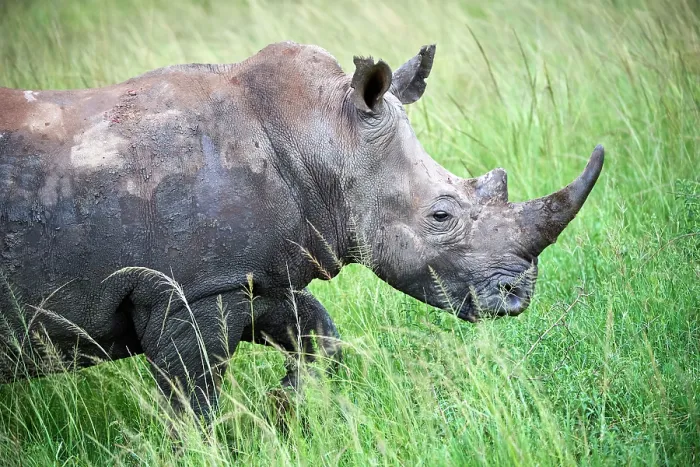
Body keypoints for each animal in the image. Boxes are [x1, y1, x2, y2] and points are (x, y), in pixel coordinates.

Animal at [0, 41, 603, 423]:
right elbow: (193, 406)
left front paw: (285, 407)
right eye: (441, 217)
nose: (518, 297)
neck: (324, 134)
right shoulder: (187, 292)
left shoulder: (255, 274)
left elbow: (319, 333)